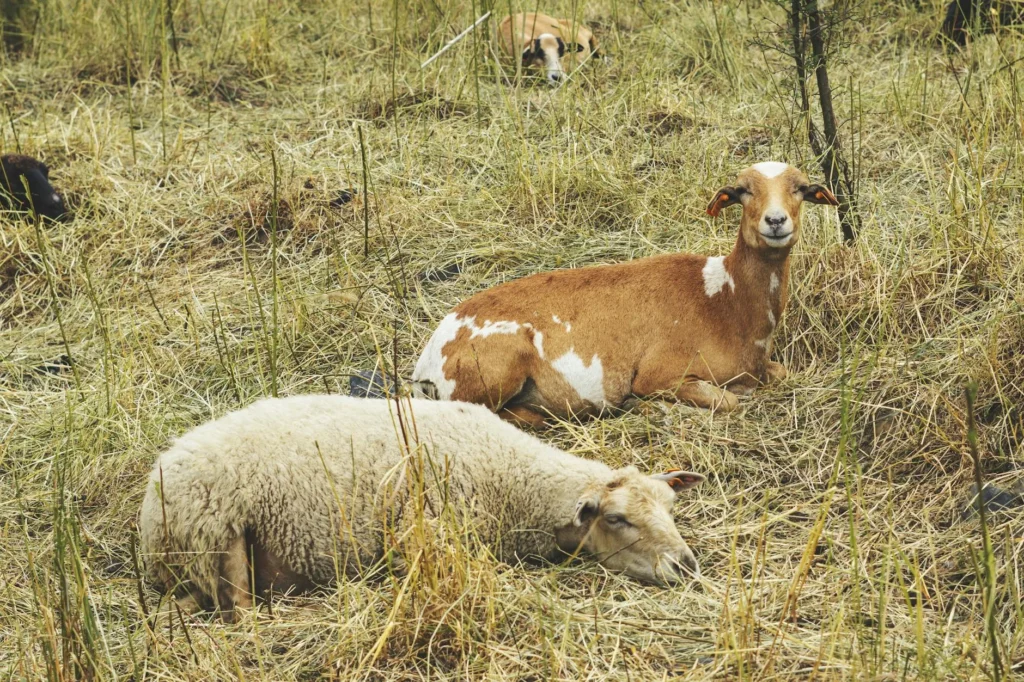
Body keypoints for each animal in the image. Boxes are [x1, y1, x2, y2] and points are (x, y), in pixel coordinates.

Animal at [139, 395, 705, 620]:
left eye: (671, 507)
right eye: (616, 518)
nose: (686, 565)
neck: (512, 479)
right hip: (219, 537)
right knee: (240, 613)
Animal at [411, 162, 839, 427]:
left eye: (801, 190)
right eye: (743, 191)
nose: (776, 221)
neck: (724, 301)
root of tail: (426, 361)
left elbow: (780, 374)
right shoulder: (660, 372)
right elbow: (727, 401)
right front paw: (650, 408)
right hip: (498, 364)